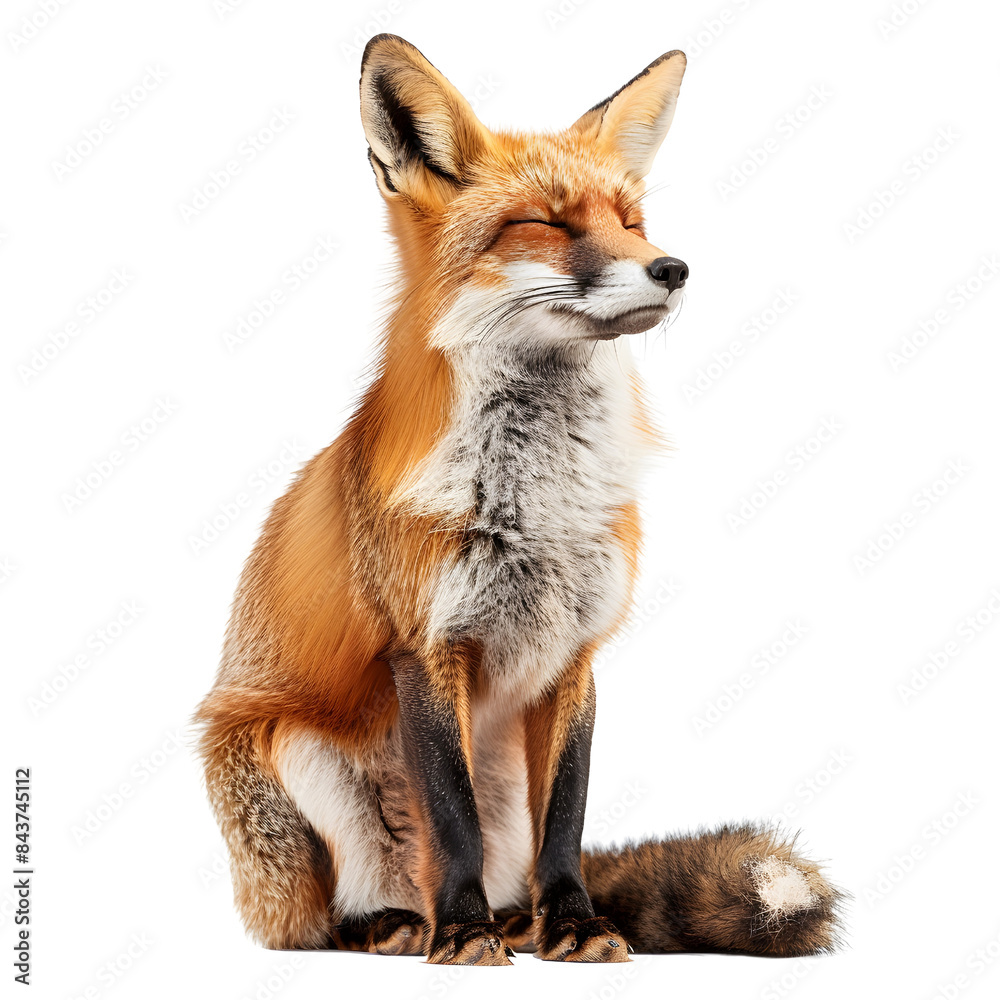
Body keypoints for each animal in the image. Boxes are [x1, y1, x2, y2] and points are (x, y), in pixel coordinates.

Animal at [195, 33, 842, 965]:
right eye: (548, 223)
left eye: (631, 222)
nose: (673, 267)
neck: (541, 503)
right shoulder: (425, 647)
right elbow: (450, 814)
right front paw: (463, 933)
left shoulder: (576, 651)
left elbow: (565, 818)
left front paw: (572, 923)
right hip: (290, 753)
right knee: (318, 919)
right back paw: (400, 923)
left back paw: (515, 919)